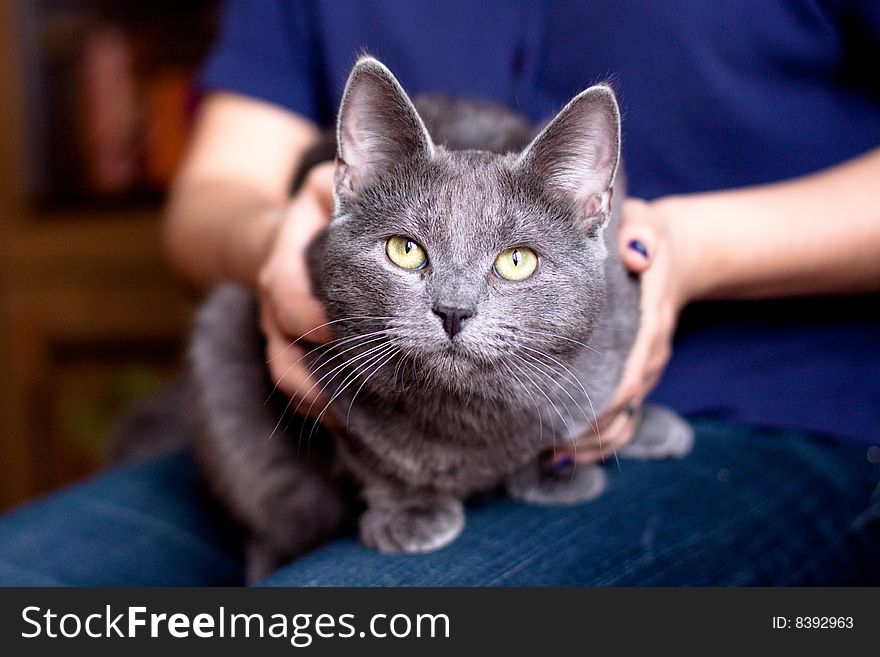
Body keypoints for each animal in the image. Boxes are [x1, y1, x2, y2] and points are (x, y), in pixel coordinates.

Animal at [187, 56, 696, 580]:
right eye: (405, 250)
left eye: (518, 261)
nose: (453, 310)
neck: (467, 411)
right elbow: (373, 454)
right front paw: (412, 510)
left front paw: (556, 467)